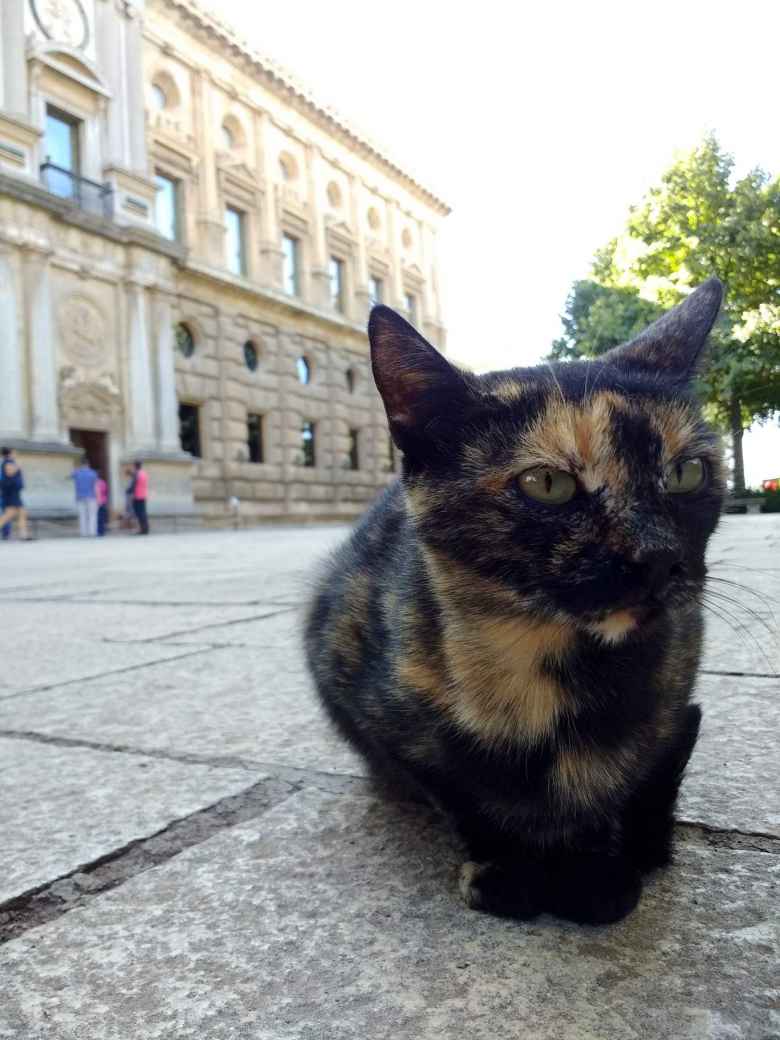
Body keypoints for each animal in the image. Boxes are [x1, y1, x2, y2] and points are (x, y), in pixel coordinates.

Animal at [305, 276, 728, 927]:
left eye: (687, 473)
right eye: (547, 484)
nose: (657, 555)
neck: (546, 669)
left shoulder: (679, 705)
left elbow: (640, 780)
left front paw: (598, 876)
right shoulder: (377, 705)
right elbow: (461, 793)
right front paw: (506, 873)